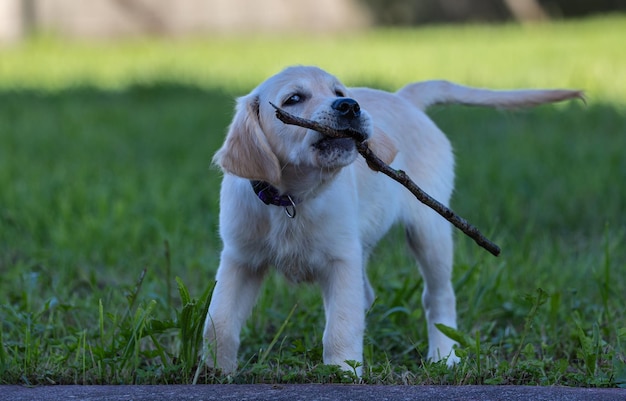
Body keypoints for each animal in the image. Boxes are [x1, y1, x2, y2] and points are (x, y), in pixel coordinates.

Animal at [204, 64, 580, 374]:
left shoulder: (342, 259)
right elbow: (218, 321)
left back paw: (444, 355)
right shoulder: (240, 259)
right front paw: (214, 372)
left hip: (429, 229)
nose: (350, 106)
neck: (293, 199)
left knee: (438, 297)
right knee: (369, 295)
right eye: (294, 99)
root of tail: (403, 98)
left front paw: (341, 373)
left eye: (339, 92)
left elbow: (340, 325)